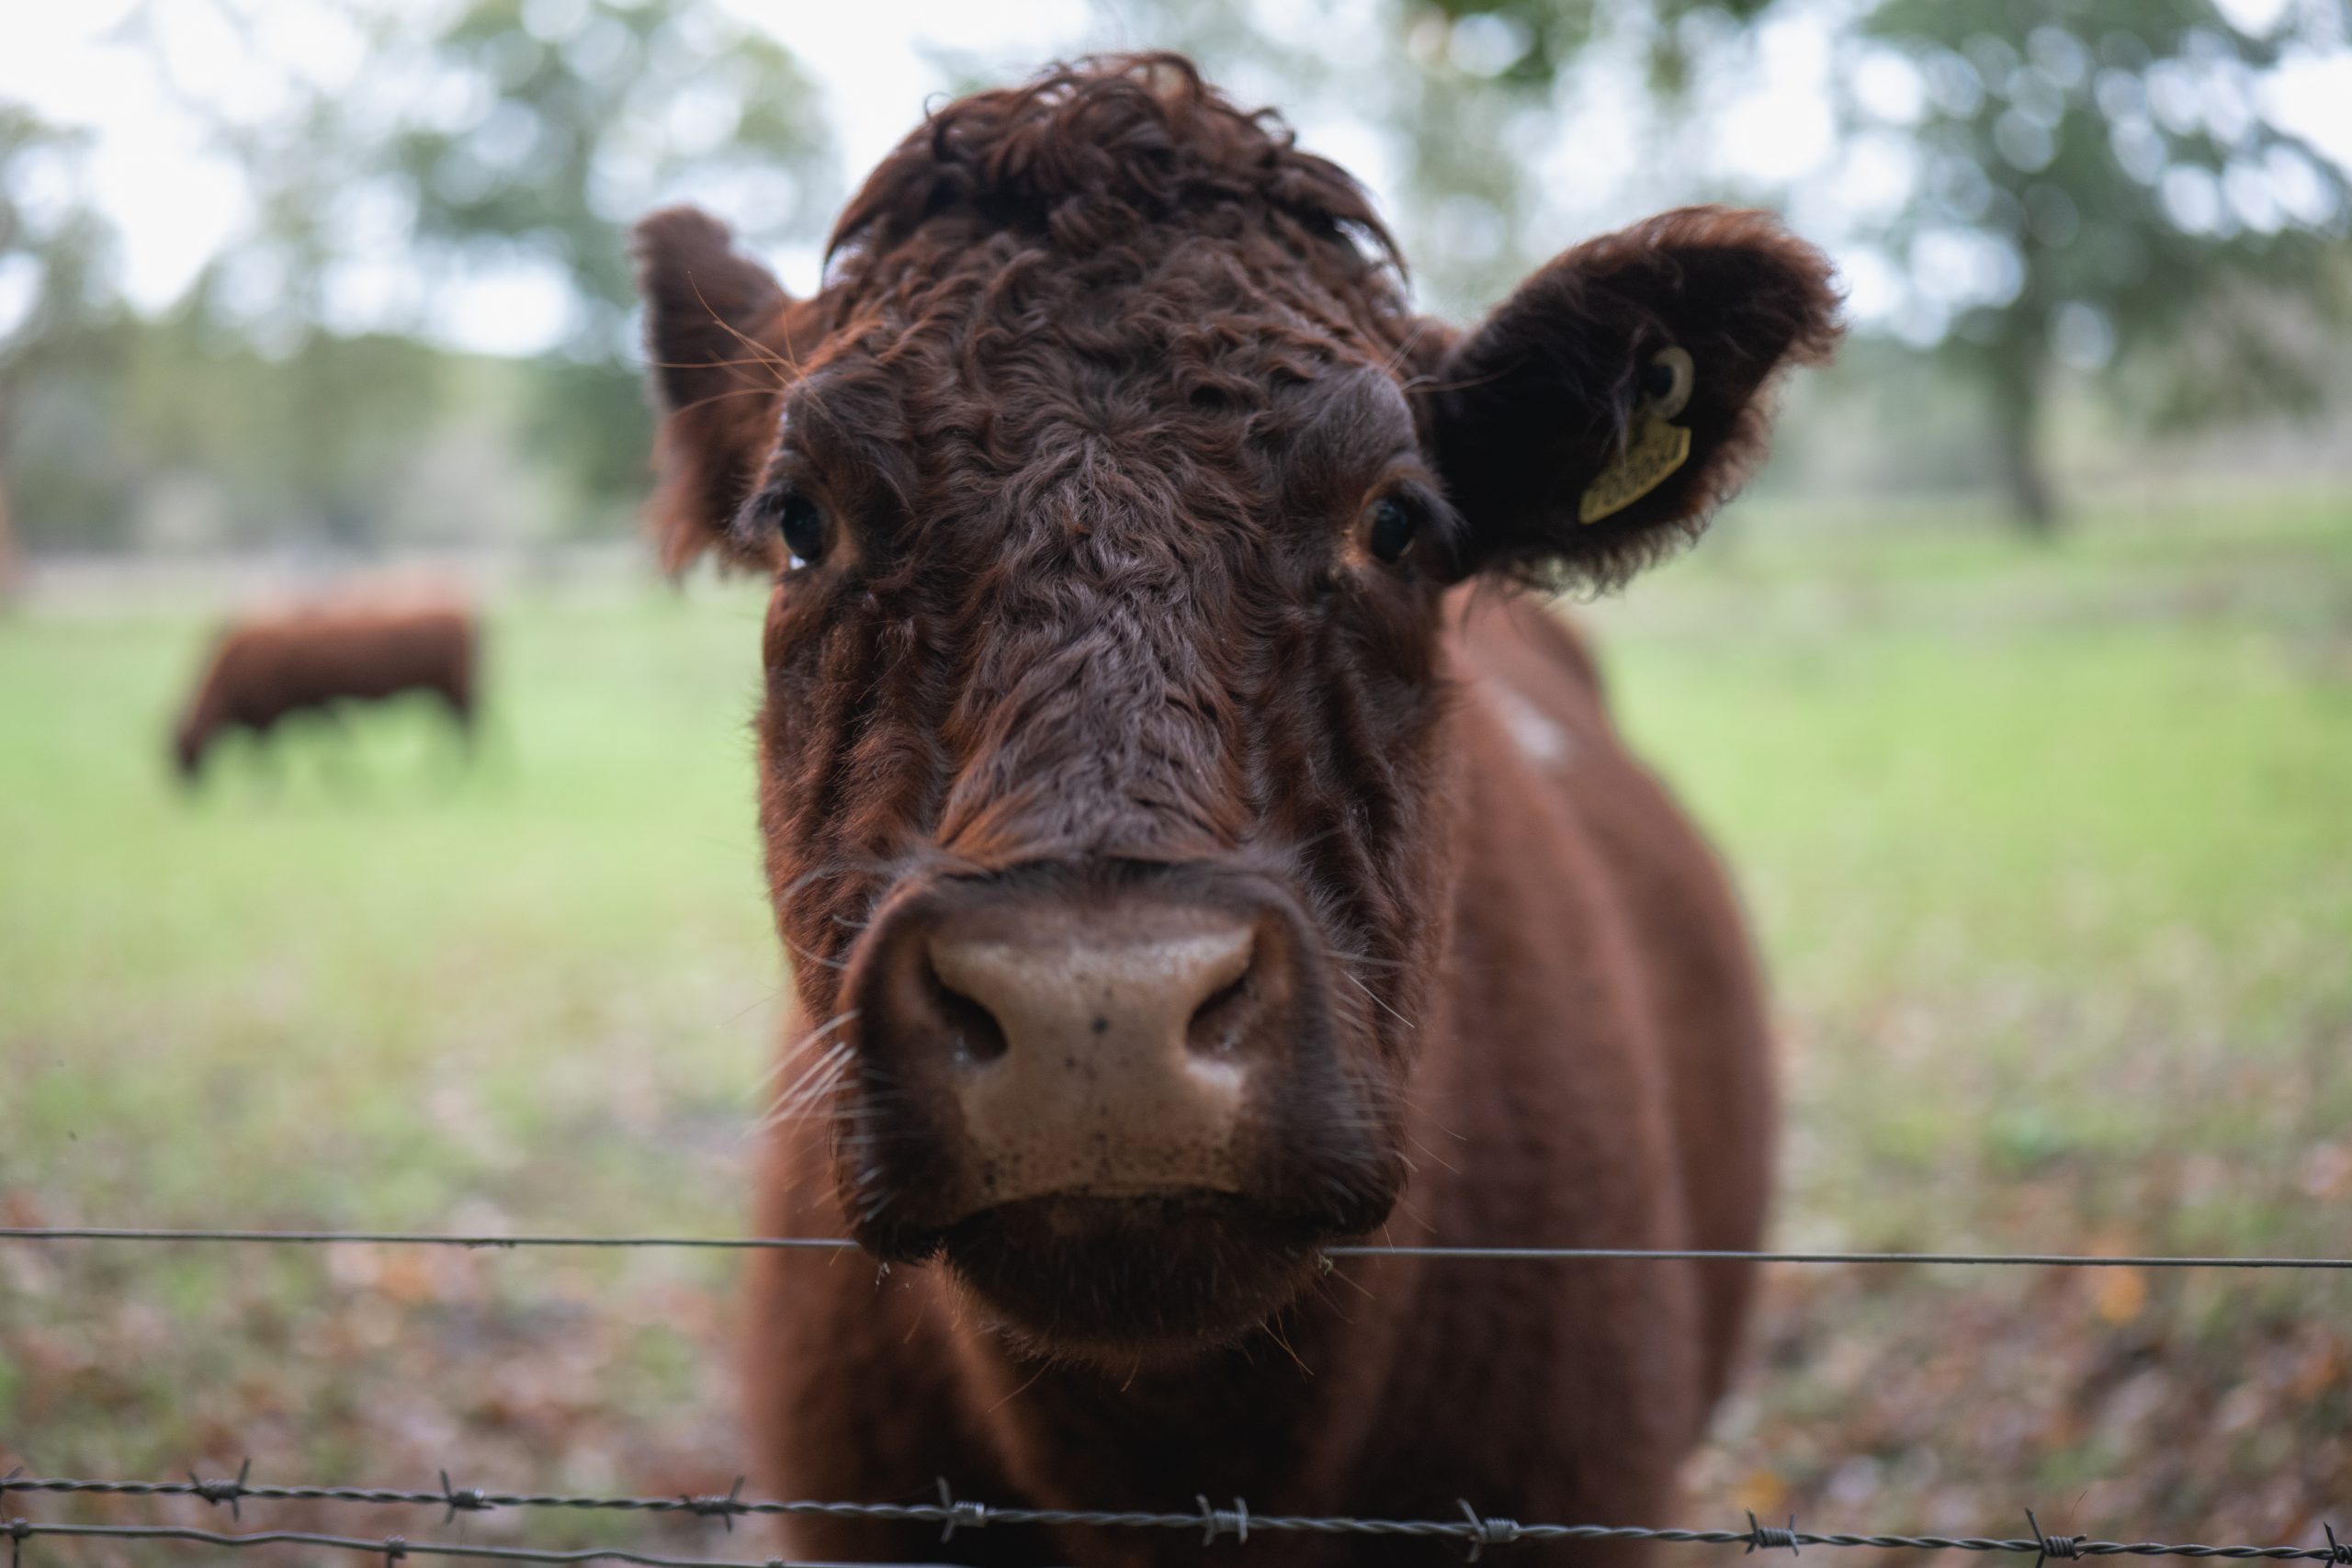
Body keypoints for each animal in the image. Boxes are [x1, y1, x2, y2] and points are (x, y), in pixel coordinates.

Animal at [171, 592, 477, 780]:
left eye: (178, 753)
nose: (184, 792)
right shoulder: (313, 708)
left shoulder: (272, 717)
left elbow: (274, 766)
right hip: (447, 694)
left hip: (452, 692)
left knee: (462, 731)